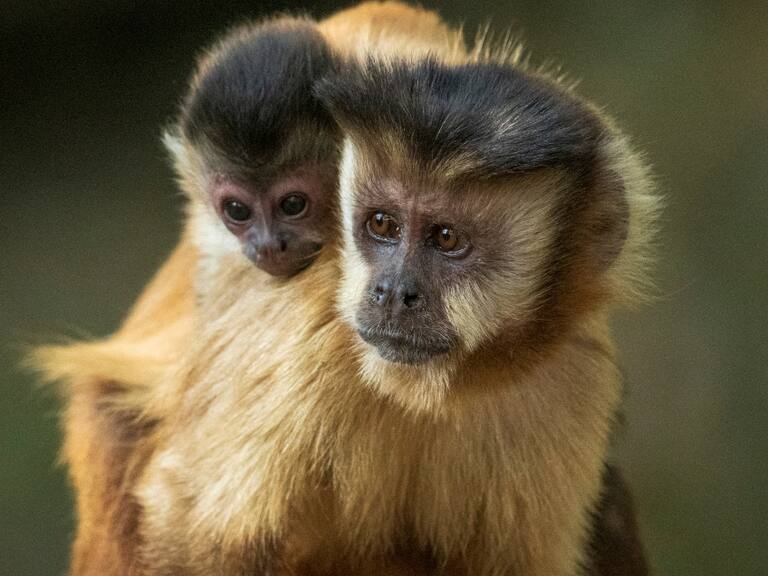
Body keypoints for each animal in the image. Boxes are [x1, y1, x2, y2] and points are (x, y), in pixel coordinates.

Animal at [131, 29, 658, 576]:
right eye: (382, 224)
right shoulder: (312, 328)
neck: (449, 385)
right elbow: (194, 533)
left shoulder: (574, 377)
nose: (392, 292)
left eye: (446, 238)